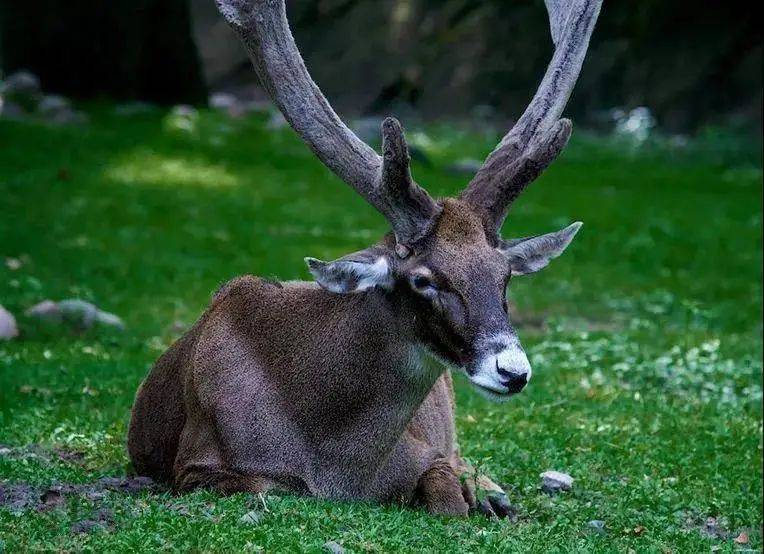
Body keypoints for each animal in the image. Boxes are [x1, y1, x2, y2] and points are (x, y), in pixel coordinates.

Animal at [127, 0, 604, 516]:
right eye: (422, 279)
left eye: (505, 277)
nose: (513, 371)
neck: (339, 467)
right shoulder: (195, 464)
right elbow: (265, 486)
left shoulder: (427, 452)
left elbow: (447, 492)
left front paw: (477, 496)